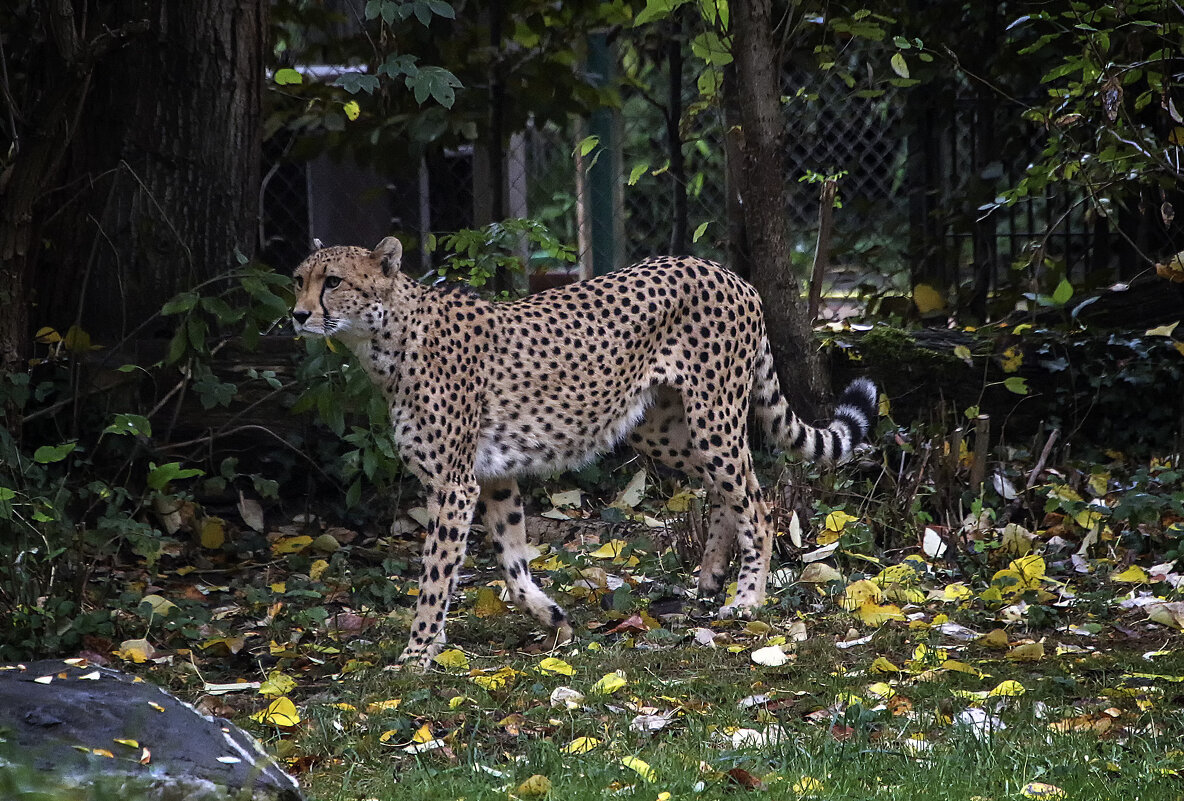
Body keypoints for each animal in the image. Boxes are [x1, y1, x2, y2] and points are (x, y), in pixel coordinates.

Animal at [291, 235, 876, 667]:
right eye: (299, 280)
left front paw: (415, 654)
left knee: (756, 502)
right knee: (725, 492)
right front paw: (551, 617)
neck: (385, 342)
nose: (297, 316)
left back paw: (747, 599)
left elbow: (436, 576)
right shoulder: (492, 477)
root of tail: (728, 272)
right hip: (657, 428)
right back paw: (709, 579)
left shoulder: (452, 485)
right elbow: (512, 562)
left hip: (713, 417)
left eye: (333, 282)